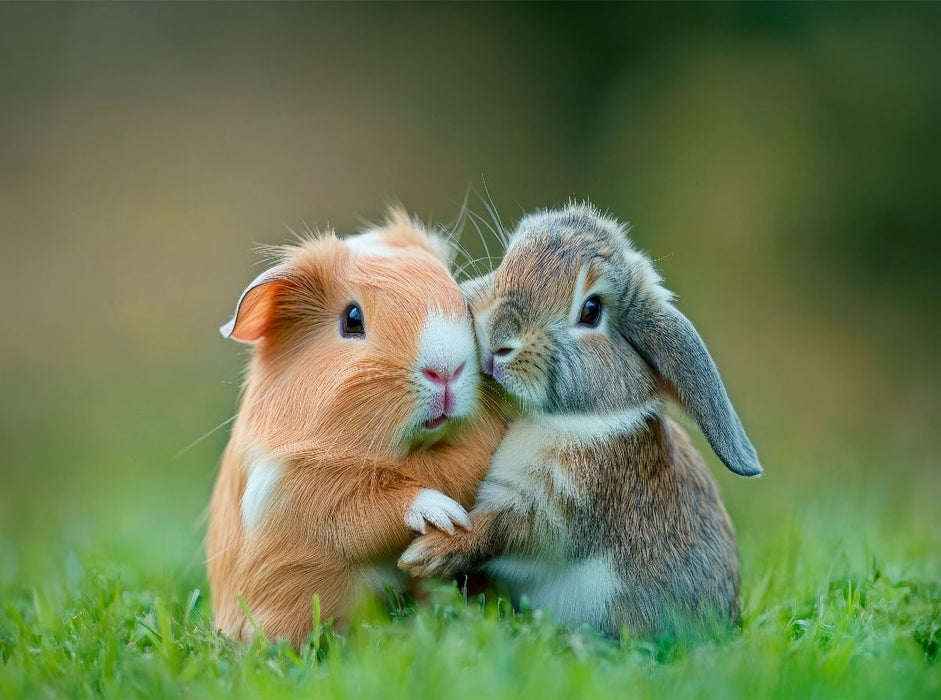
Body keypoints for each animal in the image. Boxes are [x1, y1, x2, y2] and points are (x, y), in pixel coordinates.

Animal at [207, 208, 507, 647]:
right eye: (352, 320)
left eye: (456, 296)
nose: (446, 371)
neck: (410, 455)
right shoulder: (307, 492)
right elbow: (372, 511)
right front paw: (444, 516)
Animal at [399, 202, 762, 640]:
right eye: (505, 264)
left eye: (591, 311)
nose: (498, 338)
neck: (568, 418)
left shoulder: (552, 506)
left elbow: (492, 530)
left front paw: (426, 554)